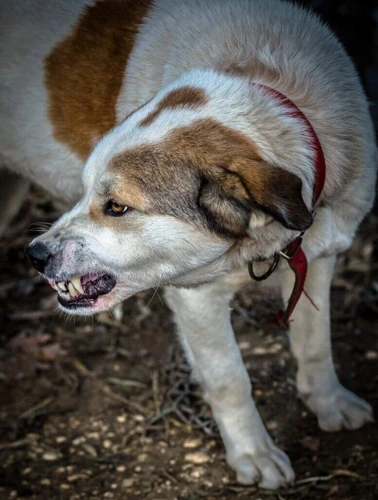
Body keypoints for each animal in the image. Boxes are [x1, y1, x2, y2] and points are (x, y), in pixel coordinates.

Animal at [1, 0, 376, 488]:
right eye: (85, 192)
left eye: (116, 206)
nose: (35, 256)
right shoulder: (196, 296)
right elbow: (229, 379)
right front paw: (253, 453)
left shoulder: (318, 256)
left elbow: (315, 344)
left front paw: (328, 403)